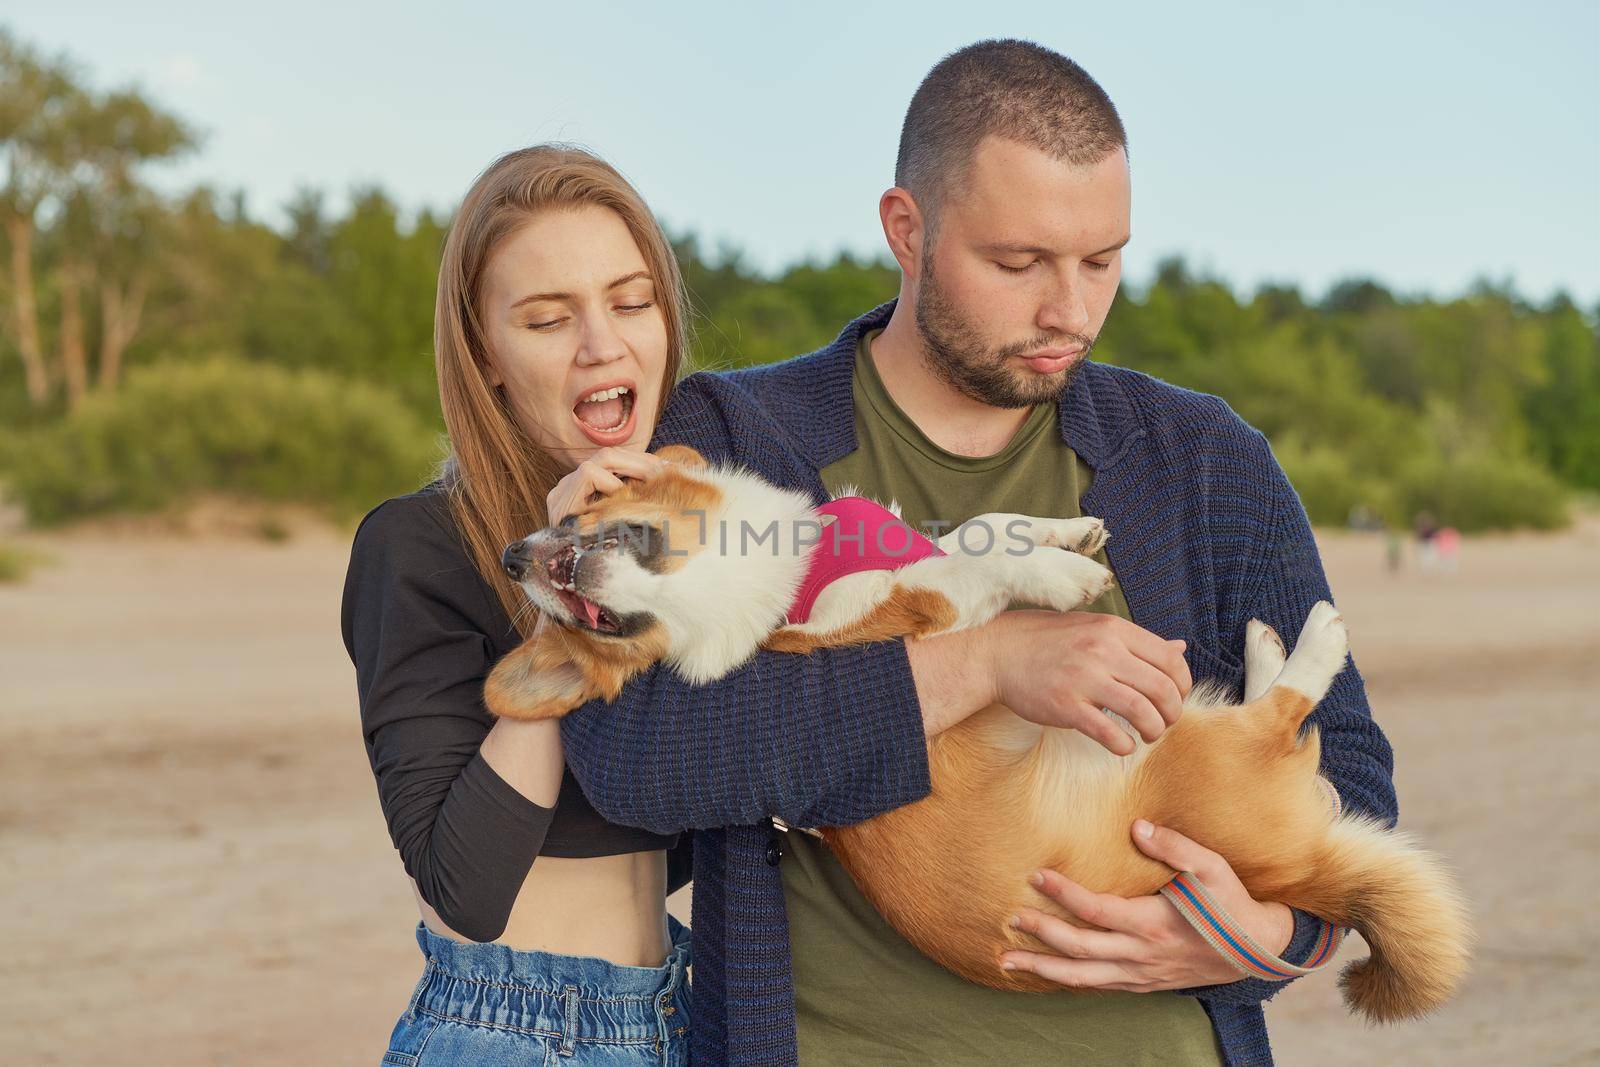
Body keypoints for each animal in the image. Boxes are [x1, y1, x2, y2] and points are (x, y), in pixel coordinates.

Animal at [489, 444, 1472, 1023]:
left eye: (572, 513)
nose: (512, 555)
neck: (761, 580)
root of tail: (1299, 870)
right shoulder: (897, 619)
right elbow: (971, 557)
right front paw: (1059, 574)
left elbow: (977, 526)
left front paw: (1067, 531)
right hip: (1189, 752)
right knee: (1281, 719)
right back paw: (1306, 646)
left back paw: (1268, 645)